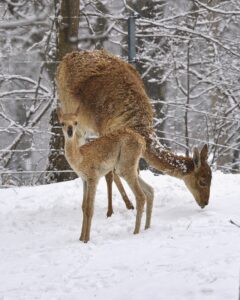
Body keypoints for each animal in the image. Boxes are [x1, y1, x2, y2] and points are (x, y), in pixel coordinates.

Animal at [56, 49, 212, 209]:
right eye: (202, 181)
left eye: (211, 178)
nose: (205, 202)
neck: (137, 125)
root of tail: (65, 59)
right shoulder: (106, 132)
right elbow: (110, 174)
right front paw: (121, 206)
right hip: (72, 114)